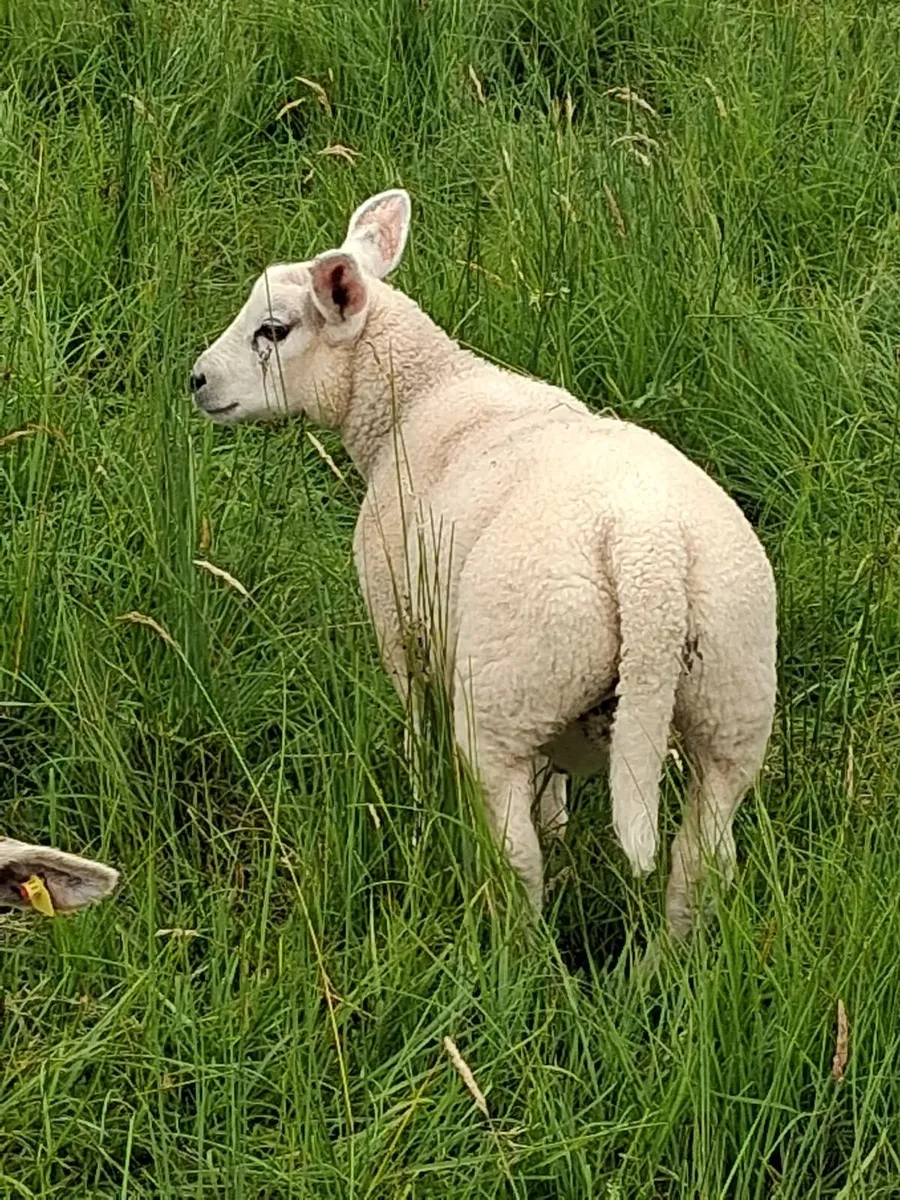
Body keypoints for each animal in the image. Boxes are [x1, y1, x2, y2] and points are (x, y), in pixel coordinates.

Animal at [190, 189, 777, 936]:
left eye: (273, 329)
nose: (197, 380)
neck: (418, 392)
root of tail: (649, 555)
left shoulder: (399, 620)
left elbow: (416, 723)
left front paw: (417, 797)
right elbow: (555, 782)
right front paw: (558, 818)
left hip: (507, 691)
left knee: (517, 855)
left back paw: (517, 949)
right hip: (726, 700)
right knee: (701, 861)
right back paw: (667, 960)